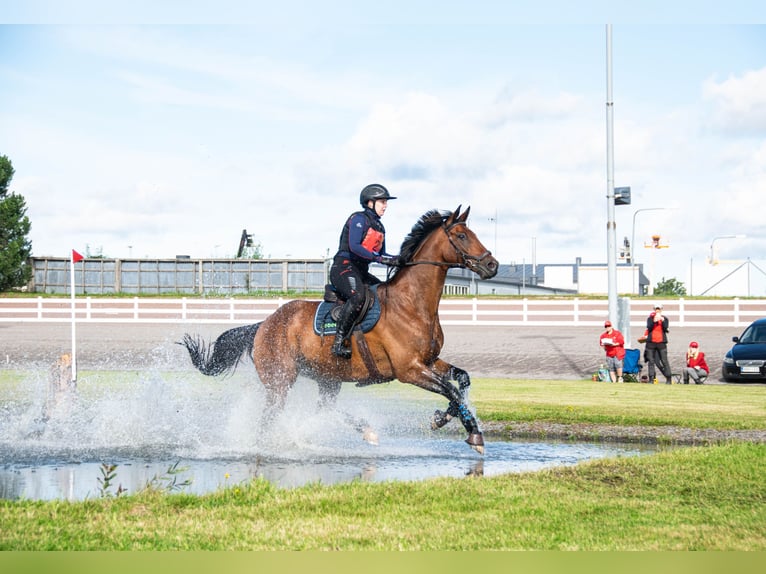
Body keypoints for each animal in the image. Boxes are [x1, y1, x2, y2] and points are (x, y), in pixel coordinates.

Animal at [182, 207, 500, 454]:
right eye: (462, 236)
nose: (492, 264)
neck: (412, 303)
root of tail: (264, 325)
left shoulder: (430, 362)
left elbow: (461, 382)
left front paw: (441, 419)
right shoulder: (409, 370)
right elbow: (451, 390)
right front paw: (473, 434)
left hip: (327, 378)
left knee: (324, 409)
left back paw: (365, 430)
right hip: (280, 381)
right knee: (269, 418)